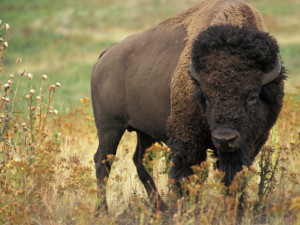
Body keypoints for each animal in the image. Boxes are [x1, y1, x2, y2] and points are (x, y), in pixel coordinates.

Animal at [91, 0, 286, 211]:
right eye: (206, 97)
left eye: (252, 97)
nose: (225, 139)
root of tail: (105, 56)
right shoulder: (188, 141)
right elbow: (188, 176)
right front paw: (189, 208)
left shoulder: (250, 142)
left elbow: (233, 175)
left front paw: (235, 208)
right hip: (110, 127)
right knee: (103, 161)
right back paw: (103, 211)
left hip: (145, 131)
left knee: (140, 161)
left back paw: (161, 208)